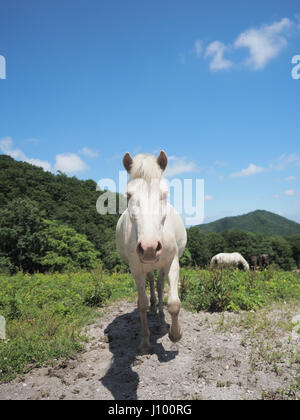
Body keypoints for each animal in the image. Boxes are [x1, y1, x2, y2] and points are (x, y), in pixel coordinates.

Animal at [116, 149, 186, 352]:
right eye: (128, 195)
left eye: (164, 194)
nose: (149, 247)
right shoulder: (136, 268)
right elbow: (142, 304)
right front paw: (145, 342)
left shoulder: (172, 263)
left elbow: (174, 303)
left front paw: (175, 334)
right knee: (153, 282)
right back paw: (154, 308)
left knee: (160, 285)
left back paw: (161, 318)